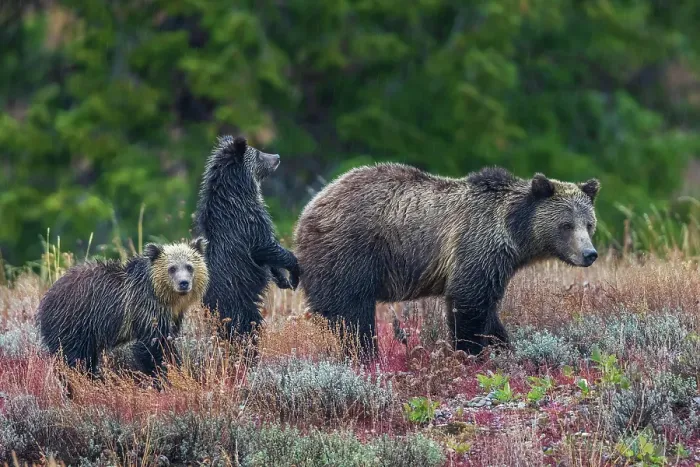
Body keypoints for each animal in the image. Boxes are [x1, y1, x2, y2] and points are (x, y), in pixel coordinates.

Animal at [36, 238, 209, 377]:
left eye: (189, 266)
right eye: (172, 268)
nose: (183, 283)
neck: (164, 297)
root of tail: (44, 299)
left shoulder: (172, 316)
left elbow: (167, 341)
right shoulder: (146, 310)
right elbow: (150, 347)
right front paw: (165, 376)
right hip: (73, 324)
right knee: (74, 357)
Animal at [194, 135, 301, 339]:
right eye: (258, 153)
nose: (277, 156)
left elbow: (269, 256)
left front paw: (282, 279)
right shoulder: (250, 223)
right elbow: (266, 246)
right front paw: (294, 271)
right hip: (238, 303)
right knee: (247, 327)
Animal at [294, 163, 600, 358]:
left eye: (589, 224)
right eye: (566, 225)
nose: (589, 254)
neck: (513, 233)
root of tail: (308, 210)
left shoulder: (496, 263)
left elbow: (488, 309)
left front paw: (503, 344)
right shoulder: (476, 244)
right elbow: (468, 301)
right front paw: (470, 351)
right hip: (349, 253)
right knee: (351, 313)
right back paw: (365, 354)